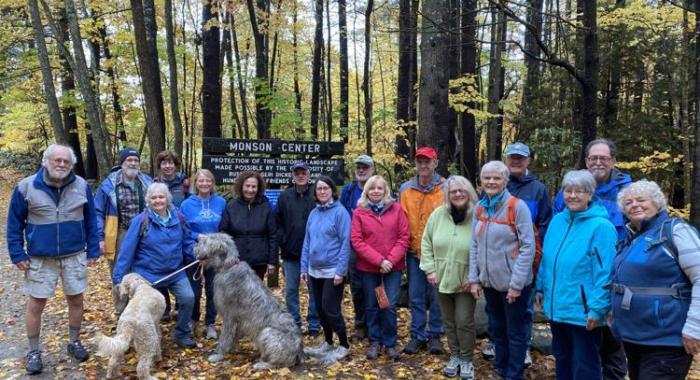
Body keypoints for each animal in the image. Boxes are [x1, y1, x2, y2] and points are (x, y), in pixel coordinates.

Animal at [194, 233, 304, 370]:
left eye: (206, 241)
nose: (196, 243)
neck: (228, 266)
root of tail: (299, 351)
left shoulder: (229, 315)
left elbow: (225, 336)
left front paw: (219, 354)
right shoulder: (238, 320)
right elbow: (233, 336)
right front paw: (231, 349)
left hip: (267, 333)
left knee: (280, 364)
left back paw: (262, 364)